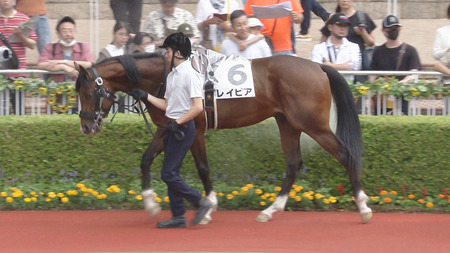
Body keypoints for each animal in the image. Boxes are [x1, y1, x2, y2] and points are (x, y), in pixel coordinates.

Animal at [75, 52, 372, 223]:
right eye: (78, 91)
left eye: (88, 92)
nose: (87, 127)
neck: (166, 75)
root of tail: (319, 67)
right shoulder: (168, 126)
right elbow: (146, 159)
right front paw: (149, 203)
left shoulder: (194, 128)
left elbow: (203, 168)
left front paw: (209, 206)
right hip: (288, 123)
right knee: (293, 164)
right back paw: (270, 210)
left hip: (312, 124)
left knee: (346, 155)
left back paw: (363, 206)